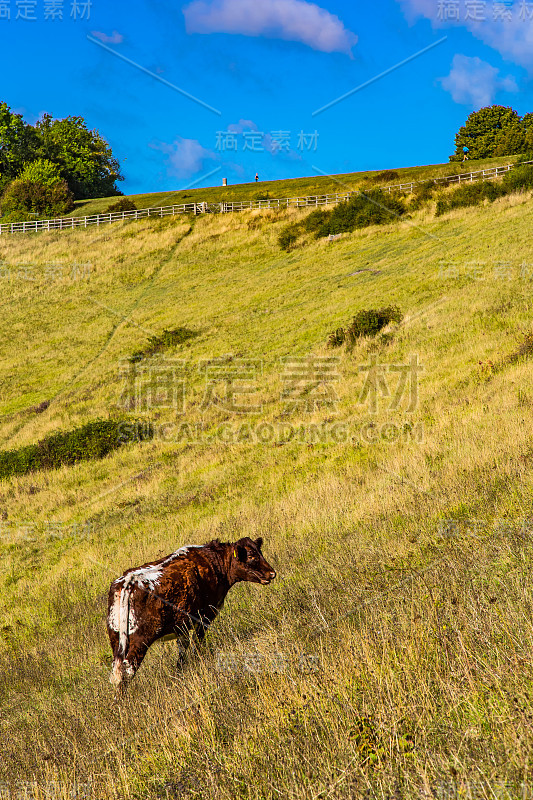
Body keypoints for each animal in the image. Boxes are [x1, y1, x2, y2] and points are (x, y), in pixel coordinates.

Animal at [106, 536, 276, 688]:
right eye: (251, 556)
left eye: (259, 551)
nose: (272, 573)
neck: (214, 563)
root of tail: (128, 581)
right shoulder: (204, 617)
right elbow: (196, 645)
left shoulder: (182, 625)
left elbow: (183, 649)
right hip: (141, 640)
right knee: (127, 670)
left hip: (117, 638)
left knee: (117, 672)